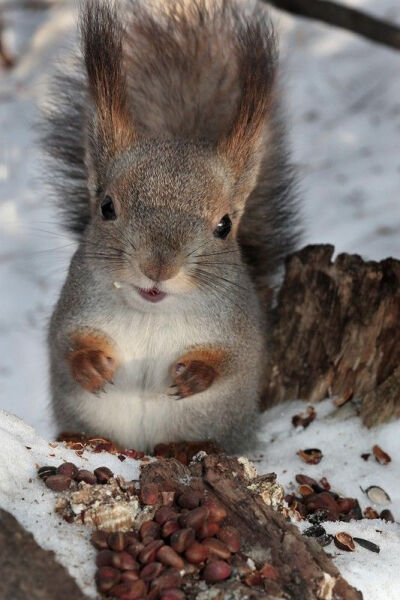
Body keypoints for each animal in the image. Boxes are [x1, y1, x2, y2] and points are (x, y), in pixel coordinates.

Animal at [43, 0, 300, 450]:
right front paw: (91, 365)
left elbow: (233, 363)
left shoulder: (241, 333)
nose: (158, 267)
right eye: (106, 207)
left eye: (224, 225)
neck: (153, 314)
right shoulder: (72, 310)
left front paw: (196, 374)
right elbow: (64, 344)